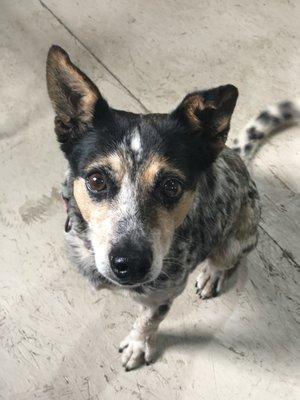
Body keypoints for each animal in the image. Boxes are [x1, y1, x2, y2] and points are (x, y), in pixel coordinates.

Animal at [45, 45, 298, 370]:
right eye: (97, 180)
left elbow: (148, 321)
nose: (130, 264)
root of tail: (237, 158)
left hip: (237, 239)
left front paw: (138, 345)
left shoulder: (163, 295)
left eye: (172, 186)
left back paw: (212, 273)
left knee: (225, 259)